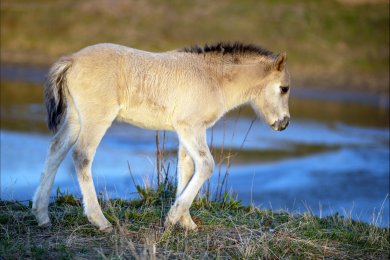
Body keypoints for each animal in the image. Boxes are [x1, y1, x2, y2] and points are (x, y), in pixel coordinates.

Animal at [32, 42, 290, 232]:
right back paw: (100, 221)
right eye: (284, 88)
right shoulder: (190, 127)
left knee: (56, 149)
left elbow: (186, 168)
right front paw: (172, 218)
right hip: (97, 119)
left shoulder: (188, 130)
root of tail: (72, 60)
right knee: (81, 155)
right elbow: (206, 165)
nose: (285, 123)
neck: (212, 77)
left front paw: (186, 222)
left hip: (76, 118)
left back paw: (42, 215)